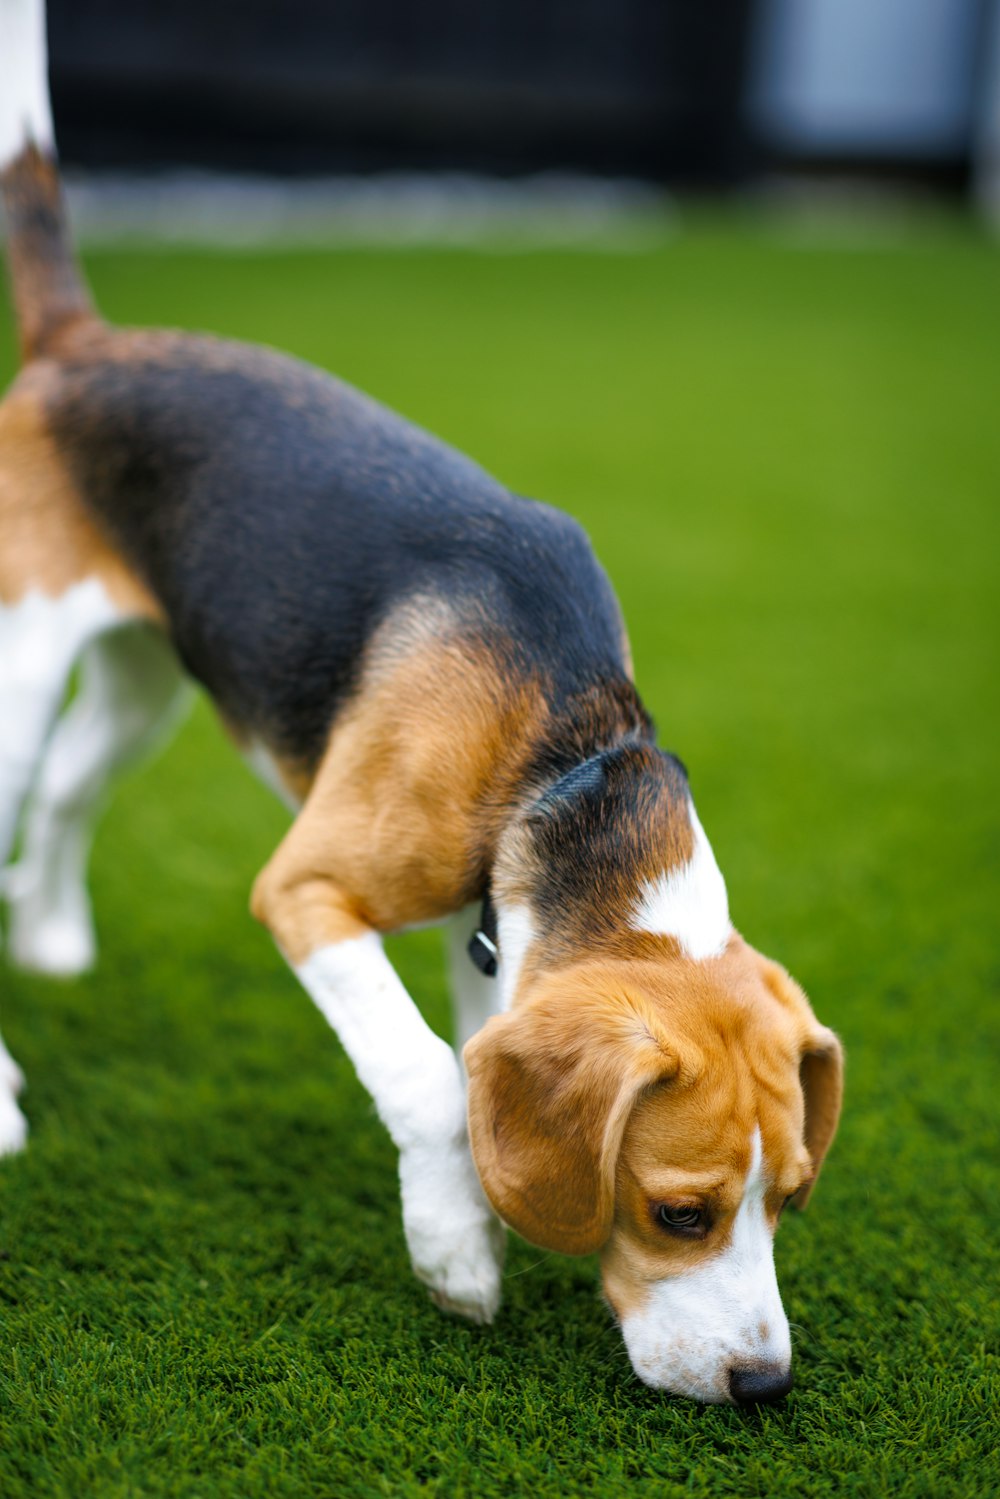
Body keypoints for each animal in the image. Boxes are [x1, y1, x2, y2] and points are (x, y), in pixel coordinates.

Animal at [0, 0, 845, 1403]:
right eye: (678, 1211)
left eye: (787, 1198)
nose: (764, 1385)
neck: (566, 754)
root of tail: (84, 345)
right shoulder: (306, 890)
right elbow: (427, 1079)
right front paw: (456, 1253)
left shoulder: (486, 927)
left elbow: (471, 1054)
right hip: (19, 666)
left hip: (145, 684)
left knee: (68, 791)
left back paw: (52, 936)